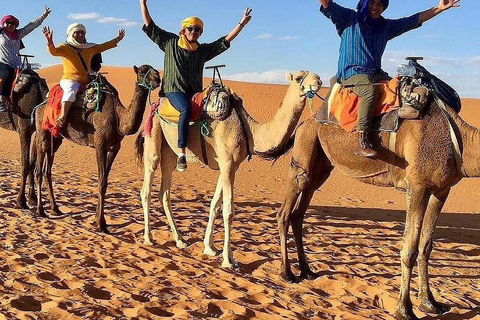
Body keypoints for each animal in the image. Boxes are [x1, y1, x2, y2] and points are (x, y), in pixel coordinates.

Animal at [0, 69, 48, 209]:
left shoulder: (35, 132)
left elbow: (32, 162)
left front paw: (32, 198)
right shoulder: (24, 130)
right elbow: (25, 164)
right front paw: (20, 201)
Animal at [34, 64, 161, 232]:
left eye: (154, 70)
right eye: (142, 71)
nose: (158, 78)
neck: (118, 117)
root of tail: (39, 106)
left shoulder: (114, 147)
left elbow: (105, 181)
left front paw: (100, 220)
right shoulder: (100, 145)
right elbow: (101, 182)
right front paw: (100, 224)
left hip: (57, 138)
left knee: (47, 170)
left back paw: (55, 209)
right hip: (43, 132)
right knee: (39, 169)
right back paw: (40, 210)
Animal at [135, 70, 322, 268]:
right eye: (299, 77)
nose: (317, 80)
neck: (249, 131)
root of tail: (155, 105)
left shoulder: (228, 166)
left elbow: (214, 205)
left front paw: (209, 248)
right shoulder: (228, 164)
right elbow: (228, 210)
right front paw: (228, 259)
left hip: (170, 152)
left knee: (164, 192)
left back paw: (179, 239)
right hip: (153, 135)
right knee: (147, 187)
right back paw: (148, 238)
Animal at [276, 84, 478, 318]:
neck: (460, 141)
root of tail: (303, 123)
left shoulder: (441, 190)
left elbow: (426, 247)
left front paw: (430, 303)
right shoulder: (417, 186)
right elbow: (409, 248)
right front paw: (404, 309)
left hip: (322, 166)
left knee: (299, 212)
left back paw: (307, 270)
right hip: (305, 148)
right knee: (286, 209)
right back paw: (287, 273)